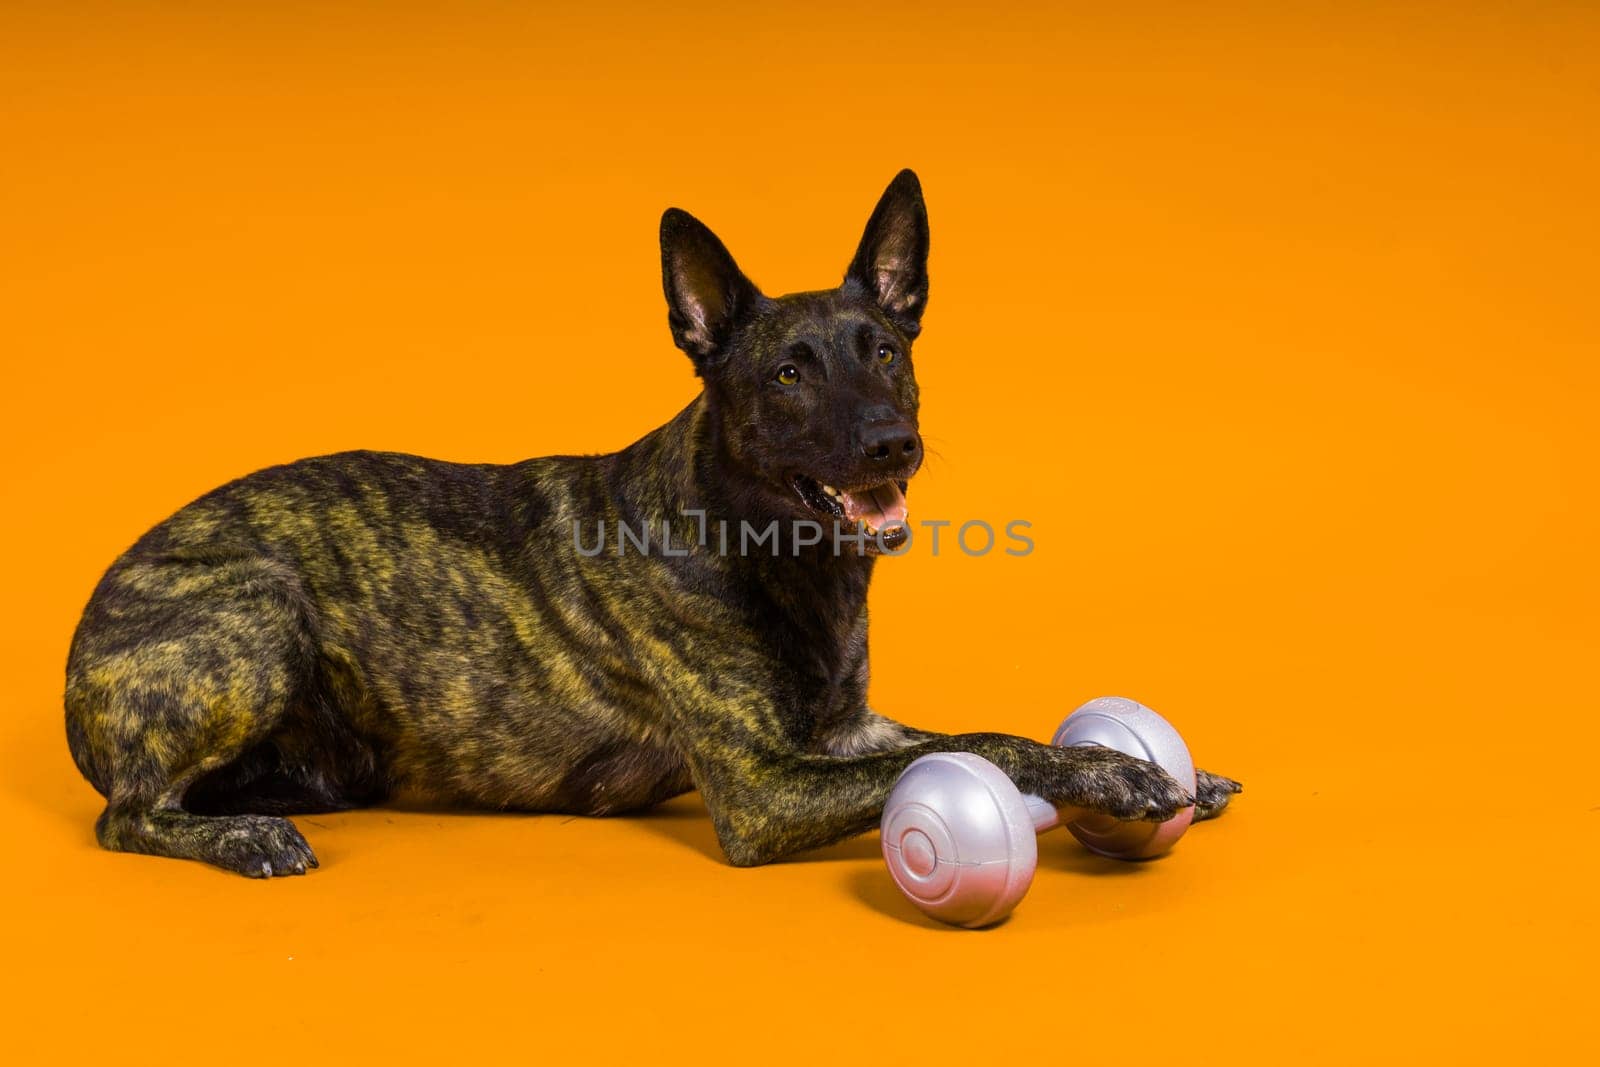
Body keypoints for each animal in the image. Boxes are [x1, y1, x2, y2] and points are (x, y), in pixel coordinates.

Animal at [62, 173, 1241, 876]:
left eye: (885, 351)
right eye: (787, 374)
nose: (889, 445)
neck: (762, 545)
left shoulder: (848, 732)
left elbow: (987, 730)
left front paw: (1139, 764)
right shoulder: (766, 788)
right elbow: (980, 747)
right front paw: (1118, 775)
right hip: (260, 609)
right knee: (125, 815)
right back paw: (245, 832)